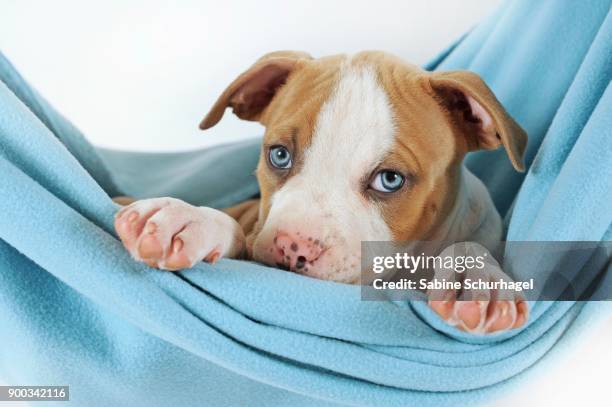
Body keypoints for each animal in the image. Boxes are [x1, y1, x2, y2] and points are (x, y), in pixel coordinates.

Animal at [117, 51, 528, 334]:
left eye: (389, 179)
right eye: (279, 155)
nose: (292, 246)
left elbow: (469, 247)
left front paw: (478, 282)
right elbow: (232, 226)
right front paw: (185, 218)